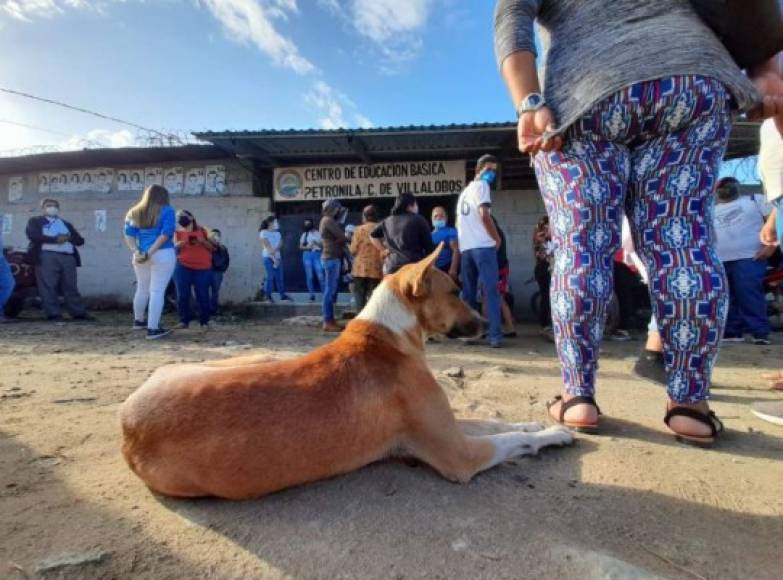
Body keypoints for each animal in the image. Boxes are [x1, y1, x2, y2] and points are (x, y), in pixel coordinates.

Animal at [121, 245, 576, 498]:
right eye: (455, 290)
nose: (484, 324)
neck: (387, 333)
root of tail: (126, 423)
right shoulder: (459, 455)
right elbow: (509, 439)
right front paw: (554, 433)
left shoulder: (447, 425)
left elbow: (497, 423)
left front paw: (535, 423)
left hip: (256, 358)